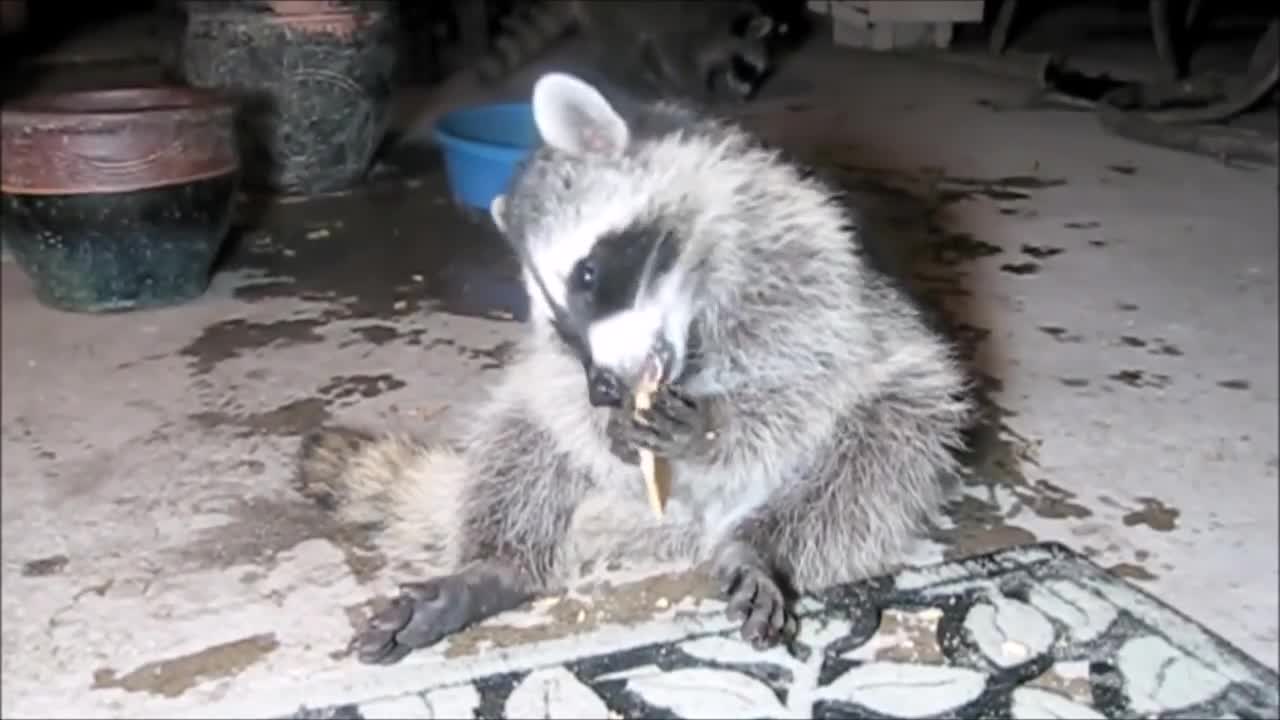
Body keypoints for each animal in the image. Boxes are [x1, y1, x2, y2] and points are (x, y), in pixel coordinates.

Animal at [294, 71, 972, 661]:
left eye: (590, 276)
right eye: (561, 325)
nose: (603, 390)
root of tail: (691, 526)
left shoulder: (801, 250)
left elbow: (809, 369)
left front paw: (717, 427)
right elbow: (555, 394)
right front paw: (609, 425)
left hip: (892, 410)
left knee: (883, 450)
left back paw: (762, 544)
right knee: (523, 433)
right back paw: (499, 563)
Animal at [476, 0, 778, 102]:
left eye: (757, 72)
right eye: (749, 67)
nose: (747, 97)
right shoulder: (686, 32)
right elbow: (677, 61)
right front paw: (700, 93)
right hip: (612, 14)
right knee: (621, 50)